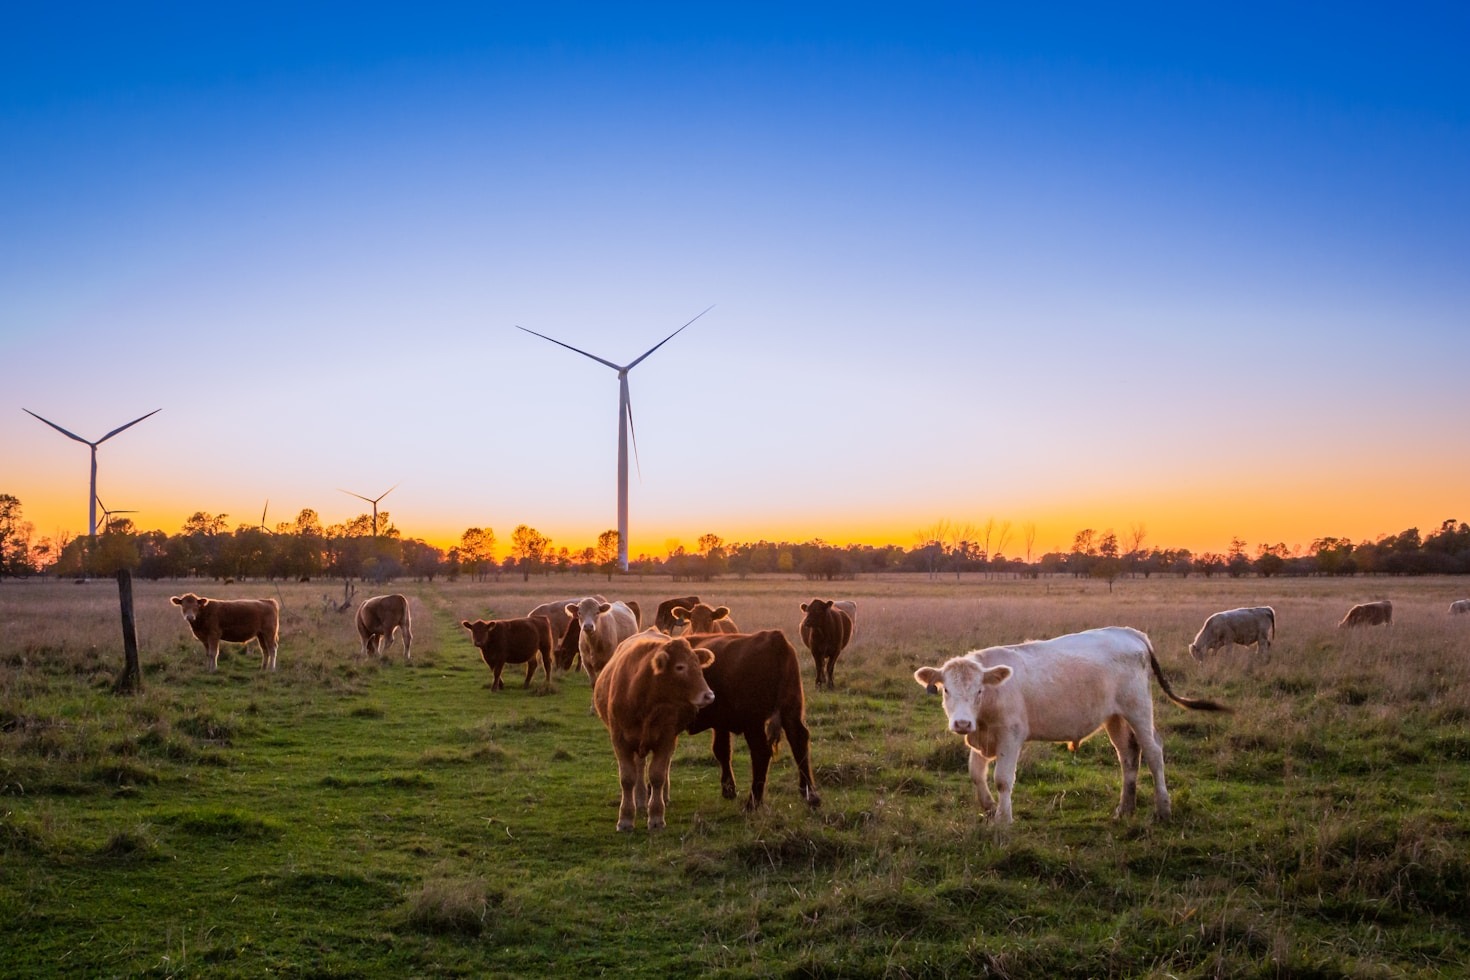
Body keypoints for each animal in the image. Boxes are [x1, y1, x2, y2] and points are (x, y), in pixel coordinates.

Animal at [590, 631, 717, 834]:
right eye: (680, 667)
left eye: (698, 665)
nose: (709, 695)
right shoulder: (620, 741)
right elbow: (627, 778)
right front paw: (625, 818)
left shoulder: (666, 738)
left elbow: (657, 775)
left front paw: (656, 816)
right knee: (640, 765)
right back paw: (640, 799)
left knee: (663, 766)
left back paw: (661, 796)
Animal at [682, 628, 823, 811]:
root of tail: (774, 638)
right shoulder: (720, 723)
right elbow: (722, 750)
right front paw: (729, 789)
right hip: (791, 711)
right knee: (799, 741)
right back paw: (810, 795)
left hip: (754, 724)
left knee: (761, 752)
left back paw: (753, 802)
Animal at [911, 625, 1223, 822]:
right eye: (946, 690)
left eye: (979, 690)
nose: (962, 723)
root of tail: (1128, 632)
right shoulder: (982, 738)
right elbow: (976, 774)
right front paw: (988, 809)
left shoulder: (1010, 736)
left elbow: (1002, 779)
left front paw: (1003, 819)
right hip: (1114, 717)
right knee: (1128, 756)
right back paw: (1124, 809)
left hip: (1138, 709)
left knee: (1154, 753)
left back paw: (1163, 809)